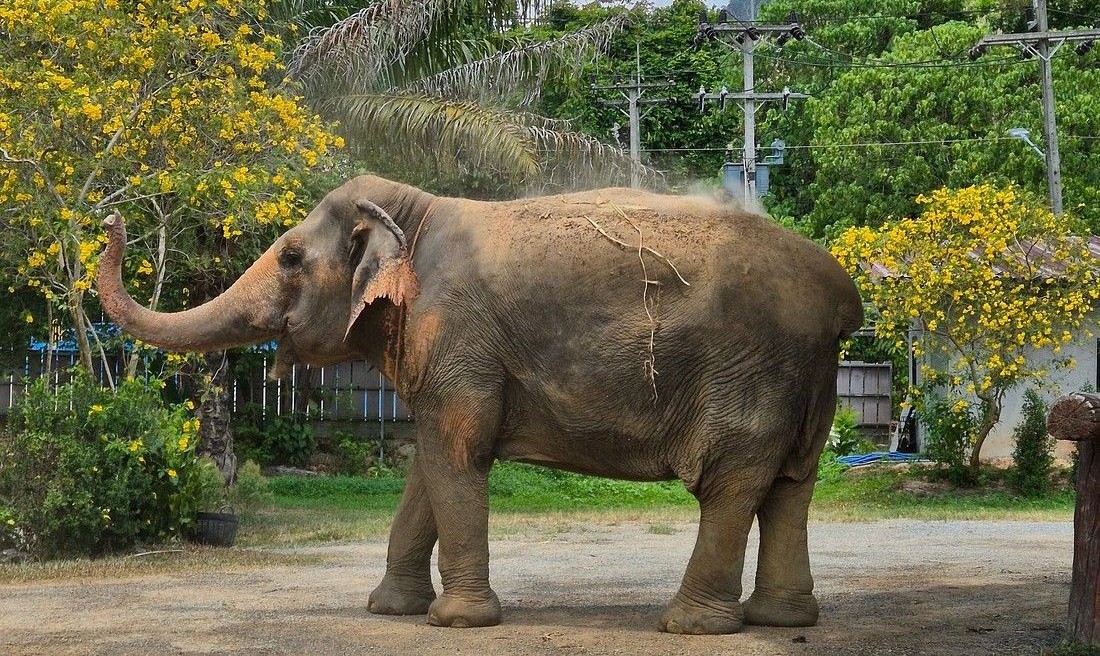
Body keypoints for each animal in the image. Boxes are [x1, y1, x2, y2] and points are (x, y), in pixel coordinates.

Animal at [97, 175, 863, 634]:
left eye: (288, 256)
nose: (111, 217)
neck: (413, 212)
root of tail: (842, 296)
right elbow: (426, 468)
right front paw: (389, 611)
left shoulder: (457, 334)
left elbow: (455, 454)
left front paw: (457, 622)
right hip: (809, 378)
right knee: (791, 483)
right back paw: (782, 619)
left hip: (752, 367)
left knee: (732, 482)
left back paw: (690, 626)